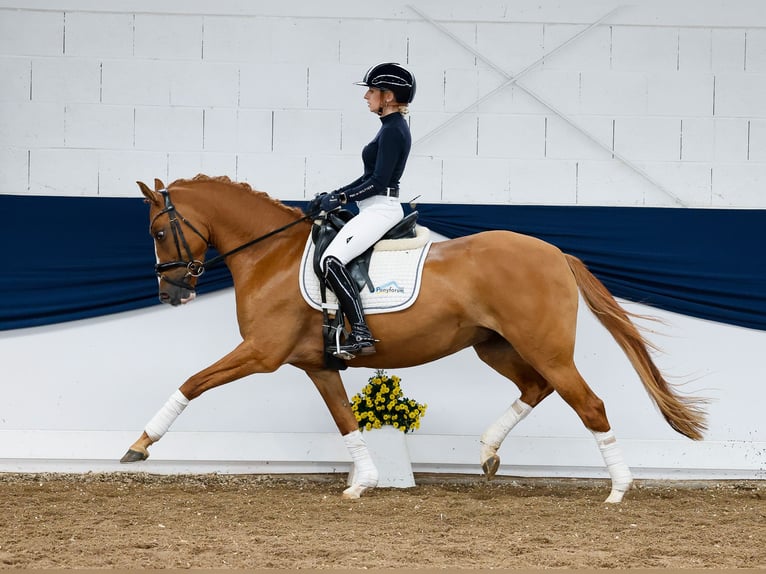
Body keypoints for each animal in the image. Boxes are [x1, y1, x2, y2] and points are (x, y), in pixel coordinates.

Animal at [124, 174, 708, 504]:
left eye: (159, 231)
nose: (171, 294)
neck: (271, 256)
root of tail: (554, 253)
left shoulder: (261, 354)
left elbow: (193, 382)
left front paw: (139, 445)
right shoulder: (318, 365)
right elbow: (344, 420)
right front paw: (363, 482)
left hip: (544, 348)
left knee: (589, 405)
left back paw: (618, 490)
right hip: (494, 345)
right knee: (535, 389)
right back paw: (488, 453)